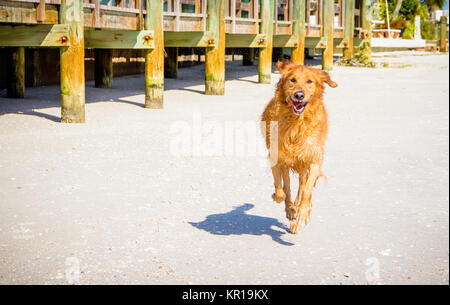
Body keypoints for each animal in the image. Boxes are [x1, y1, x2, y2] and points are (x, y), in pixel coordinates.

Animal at [260, 60, 338, 234]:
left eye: (310, 81)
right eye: (292, 80)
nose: (299, 95)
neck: (297, 122)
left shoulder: (314, 160)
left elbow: (306, 190)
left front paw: (302, 213)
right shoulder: (278, 158)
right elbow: (282, 189)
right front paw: (285, 205)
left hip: (304, 166)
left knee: (302, 188)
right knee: (288, 187)